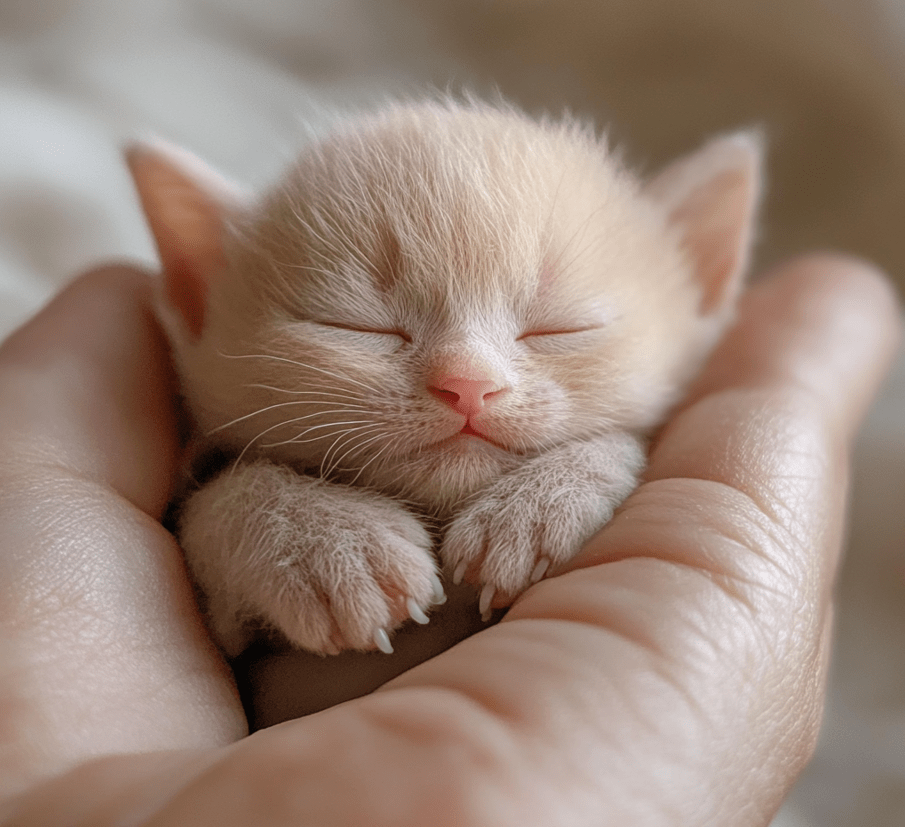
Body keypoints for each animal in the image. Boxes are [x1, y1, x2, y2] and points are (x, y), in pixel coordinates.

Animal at [127, 98, 760, 660]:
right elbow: (212, 499)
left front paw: (539, 503)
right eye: (352, 324)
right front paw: (324, 540)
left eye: (561, 326)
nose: (467, 383)